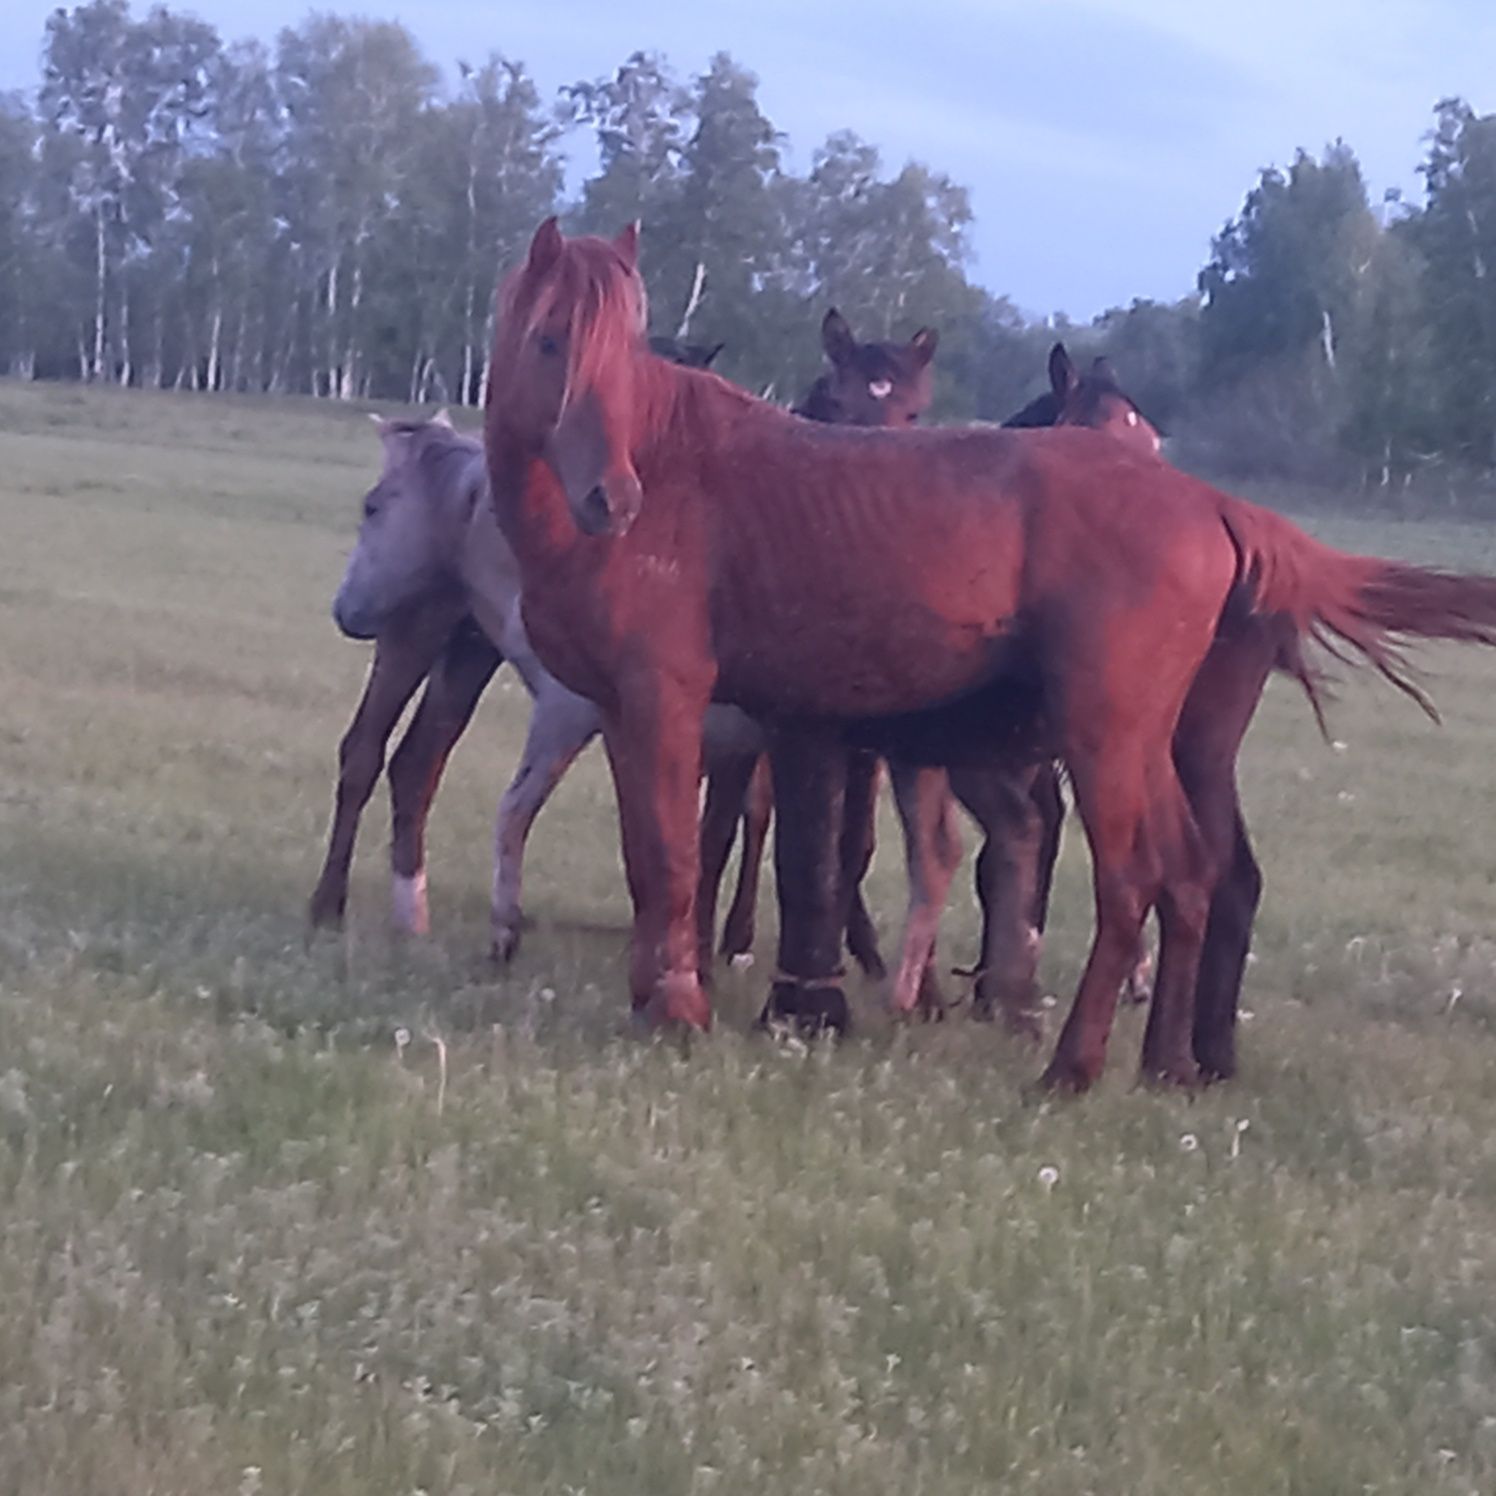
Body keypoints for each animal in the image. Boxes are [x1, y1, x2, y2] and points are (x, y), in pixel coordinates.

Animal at [484, 218, 1496, 1089]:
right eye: (551, 342)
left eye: (623, 357)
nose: (611, 497)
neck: (674, 469)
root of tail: (1213, 506)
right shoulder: (632, 712)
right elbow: (651, 857)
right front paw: (655, 998)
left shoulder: (671, 701)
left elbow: (675, 856)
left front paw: (681, 1010)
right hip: (1149, 746)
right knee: (1194, 874)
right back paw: (1167, 1063)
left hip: (1105, 740)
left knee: (1134, 881)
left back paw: (1073, 1069)